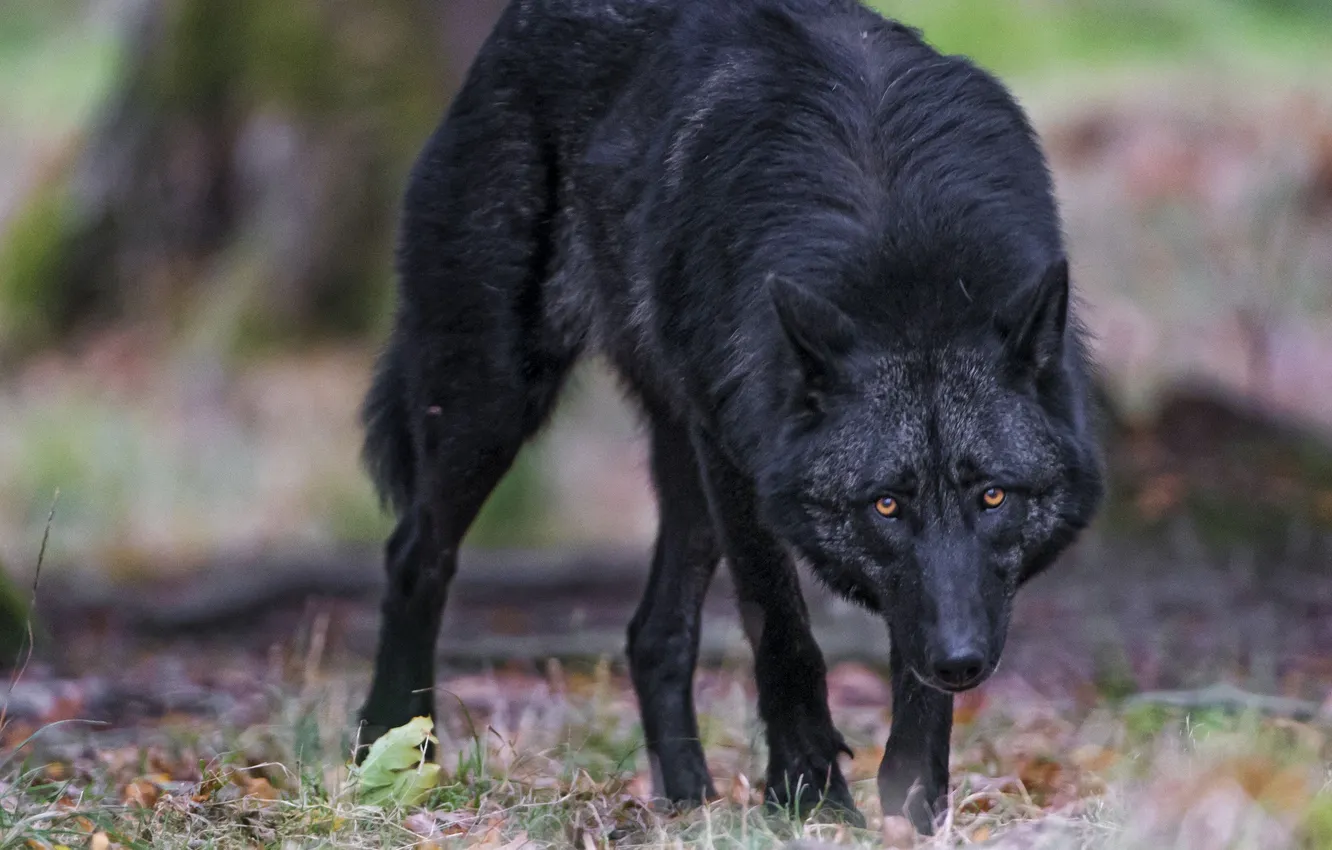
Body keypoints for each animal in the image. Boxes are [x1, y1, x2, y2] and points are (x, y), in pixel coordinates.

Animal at [355, 0, 1103, 834]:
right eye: (885, 504)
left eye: (994, 496)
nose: (962, 659)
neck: (904, 255)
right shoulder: (741, 465)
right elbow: (784, 633)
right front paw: (809, 795)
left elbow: (910, 676)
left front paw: (912, 805)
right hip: (493, 404)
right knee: (415, 557)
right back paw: (391, 754)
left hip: (681, 461)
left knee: (652, 632)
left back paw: (688, 804)